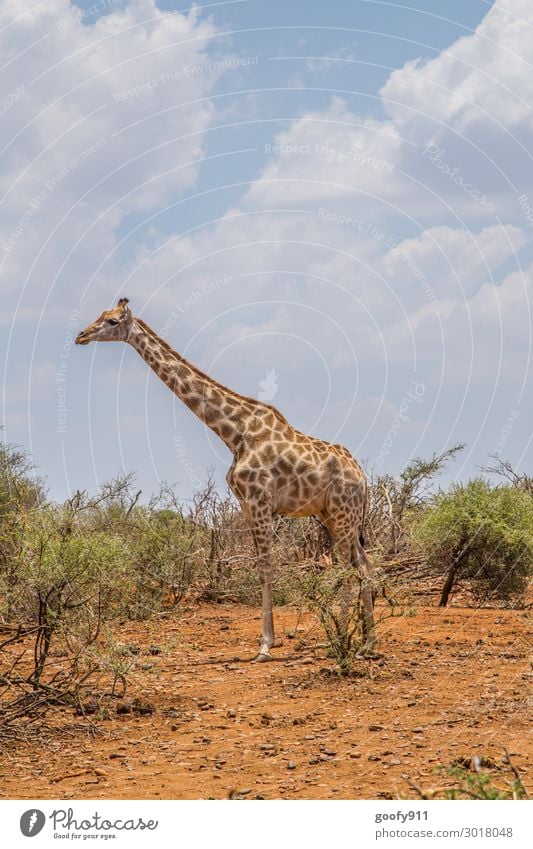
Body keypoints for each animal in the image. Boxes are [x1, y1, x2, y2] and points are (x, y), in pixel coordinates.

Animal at [75, 298, 376, 664]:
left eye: (113, 321)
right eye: (101, 316)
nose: (81, 335)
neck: (234, 433)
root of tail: (363, 478)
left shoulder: (260, 500)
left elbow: (266, 566)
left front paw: (265, 646)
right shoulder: (246, 504)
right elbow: (260, 564)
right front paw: (270, 641)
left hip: (343, 515)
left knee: (349, 567)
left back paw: (341, 642)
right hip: (333, 515)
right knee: (363, 564)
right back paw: (366, 642)